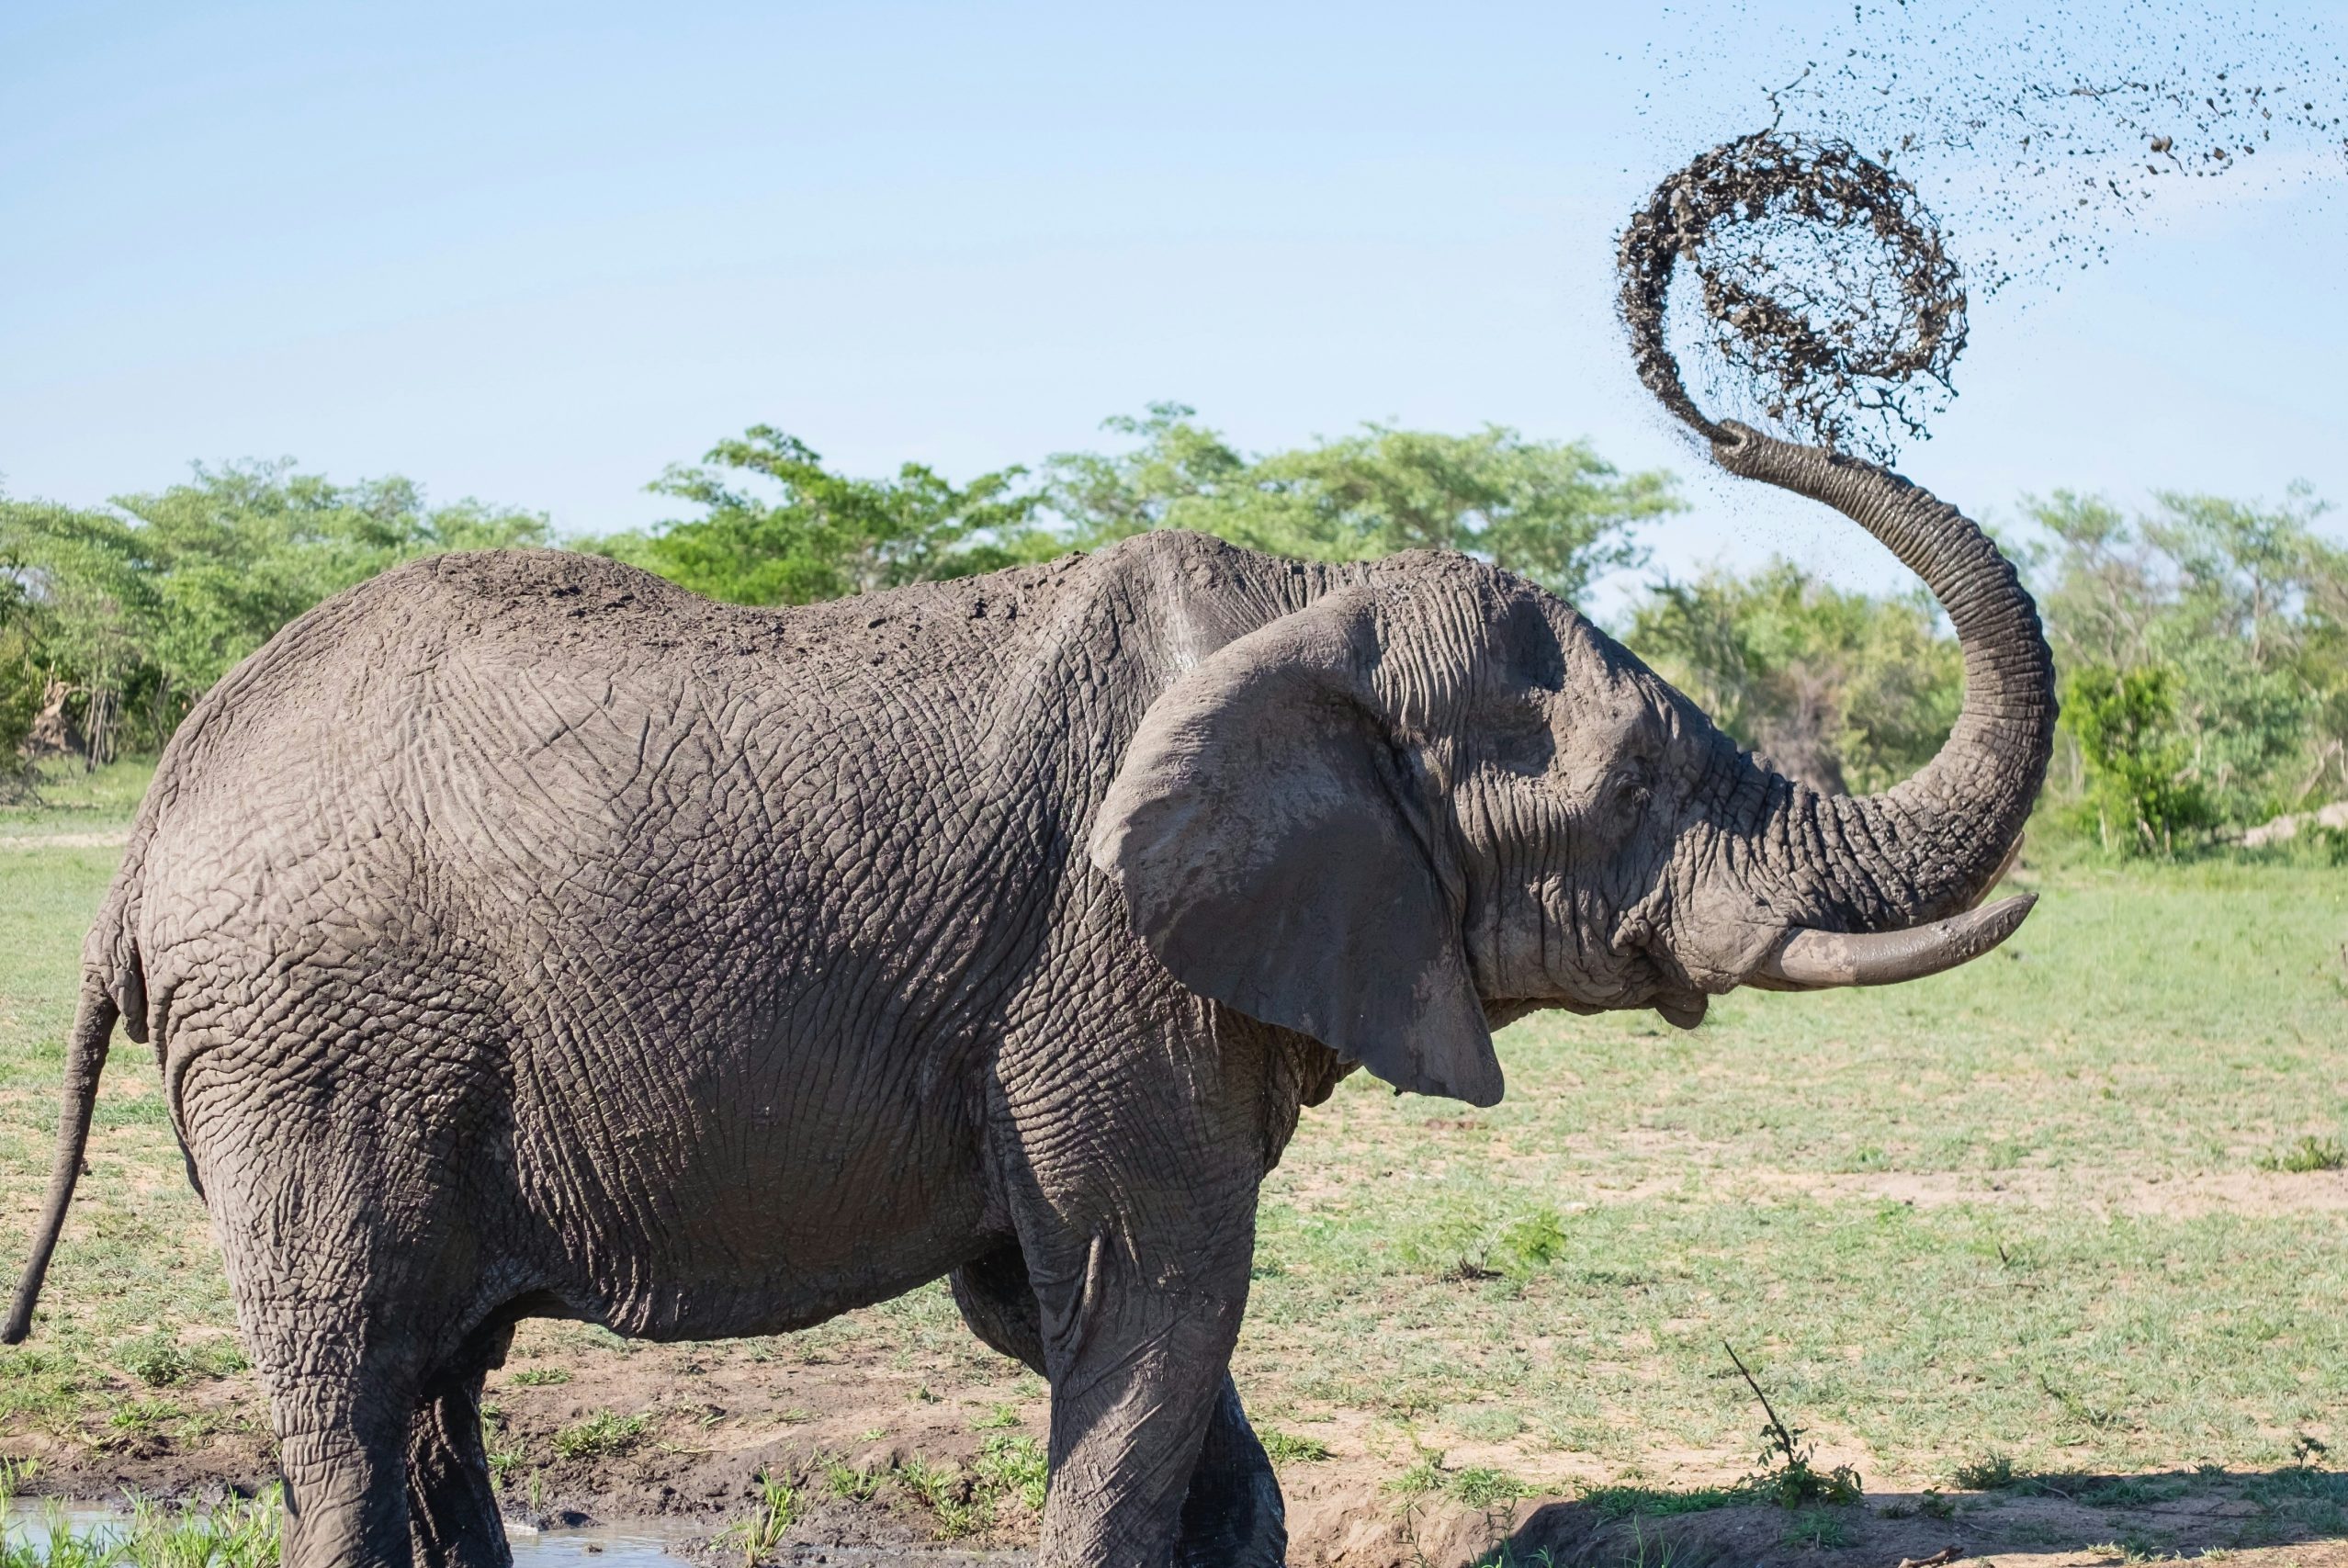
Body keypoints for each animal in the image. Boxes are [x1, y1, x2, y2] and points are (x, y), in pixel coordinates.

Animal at [3, 419, 2051, 1568]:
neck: (1305, 601)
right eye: (1629, 794)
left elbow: (1092, 1330)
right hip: (312, 1051)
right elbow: (1157, 1292)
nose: (1721, 402)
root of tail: (153, 818)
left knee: (433, 1398)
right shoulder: (1099, 959)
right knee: (354, 1404)